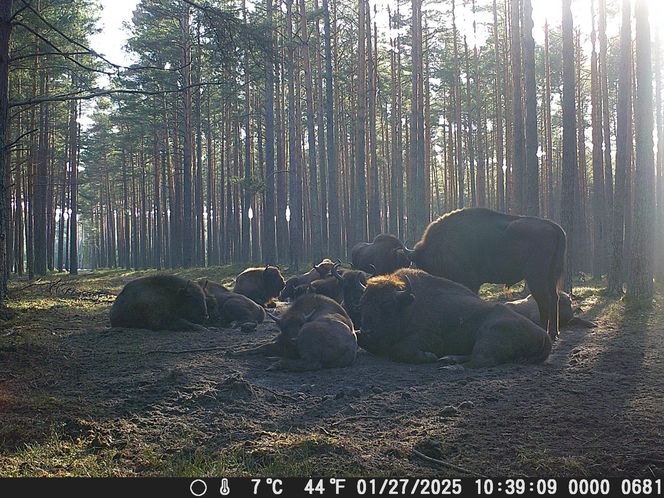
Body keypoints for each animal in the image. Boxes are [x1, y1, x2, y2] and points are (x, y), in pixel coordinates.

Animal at [358, 268, 548, 370]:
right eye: (362, 302)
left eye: (386, 303)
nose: (366, 331)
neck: (409, 305)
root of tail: (544, 335)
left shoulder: (428, 337)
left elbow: (399, 350)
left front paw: (429, 356)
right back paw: (449, 359)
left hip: (489, 335)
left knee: (480, 360)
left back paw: (449, 365)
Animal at [404, 208, 564, 340]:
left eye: (423, 264)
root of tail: (552, 226)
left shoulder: (469, 282)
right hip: (551, 276)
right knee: (554, 298)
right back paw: (553, 333)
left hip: (536, 277)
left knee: (543, 300)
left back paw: (544, 331)